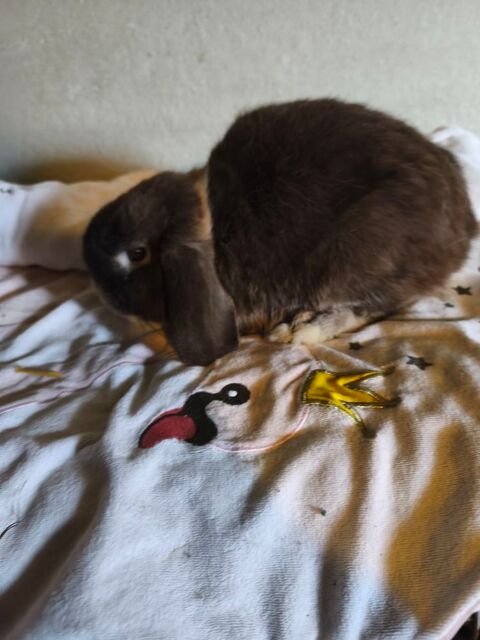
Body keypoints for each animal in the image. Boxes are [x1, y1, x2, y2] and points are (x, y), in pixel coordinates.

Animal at [83, 98, 477, 366]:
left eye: (137, 253)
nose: (100, 290)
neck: (212, 224)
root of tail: (464, 222)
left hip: (361, 250)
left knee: (385, 301)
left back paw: (303, 327)